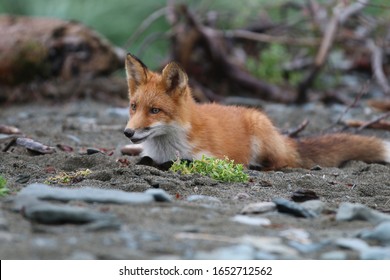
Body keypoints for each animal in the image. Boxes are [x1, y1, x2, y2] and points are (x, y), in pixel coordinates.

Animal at [124, 53, 390, 170]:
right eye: (134, 107)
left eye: (155, 110)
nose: (128, 132)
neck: (167, 147)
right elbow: (146, 158)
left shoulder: (214, 158)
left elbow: (178, 162)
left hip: (261, 134)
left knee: (283, 163)